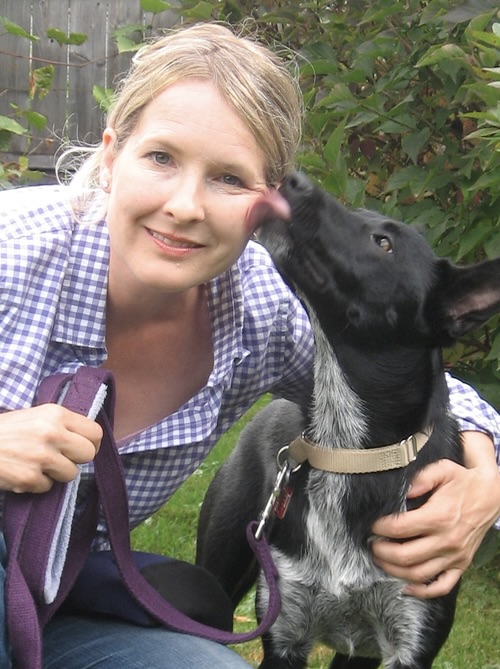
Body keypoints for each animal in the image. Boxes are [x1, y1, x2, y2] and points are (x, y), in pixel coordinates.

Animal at [196, 171, 500, 669]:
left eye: (383, 243)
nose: (292, 178)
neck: (354, 456)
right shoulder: (284, 633)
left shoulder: (406, 643)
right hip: (220, 571)